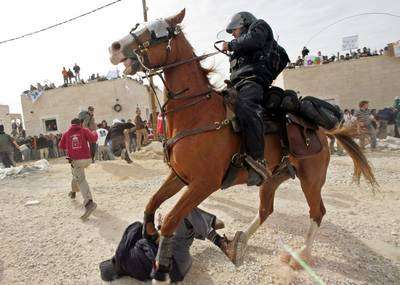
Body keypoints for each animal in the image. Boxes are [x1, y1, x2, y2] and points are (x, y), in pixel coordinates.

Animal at [108, 9, 376, 282]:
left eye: (156, 31)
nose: (114, 47)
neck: (197, 112)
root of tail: (321, 128)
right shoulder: (180, 177)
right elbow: (152, 202)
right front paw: (150, 230)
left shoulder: (204, 183)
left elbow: (172, 220)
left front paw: (161, 270)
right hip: (272, 178)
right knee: (266, 210)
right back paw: (236, 246)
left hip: (311, 179)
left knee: (317, 212)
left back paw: (299, 255)